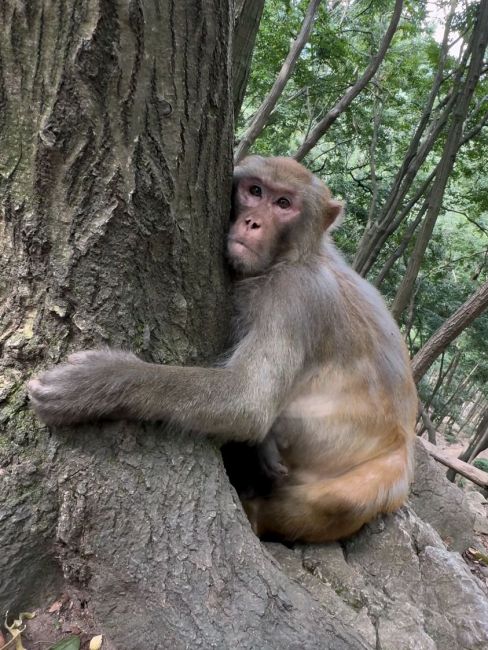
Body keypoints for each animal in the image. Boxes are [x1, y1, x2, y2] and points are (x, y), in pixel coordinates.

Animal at [28, 156, 417, 543]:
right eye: (255, 191)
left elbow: (248, 403)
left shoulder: (294, 297)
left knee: (339, 502)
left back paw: (256, 513)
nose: (253, 221)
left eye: (283, 204)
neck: (289, 259)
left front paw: (98, 381)